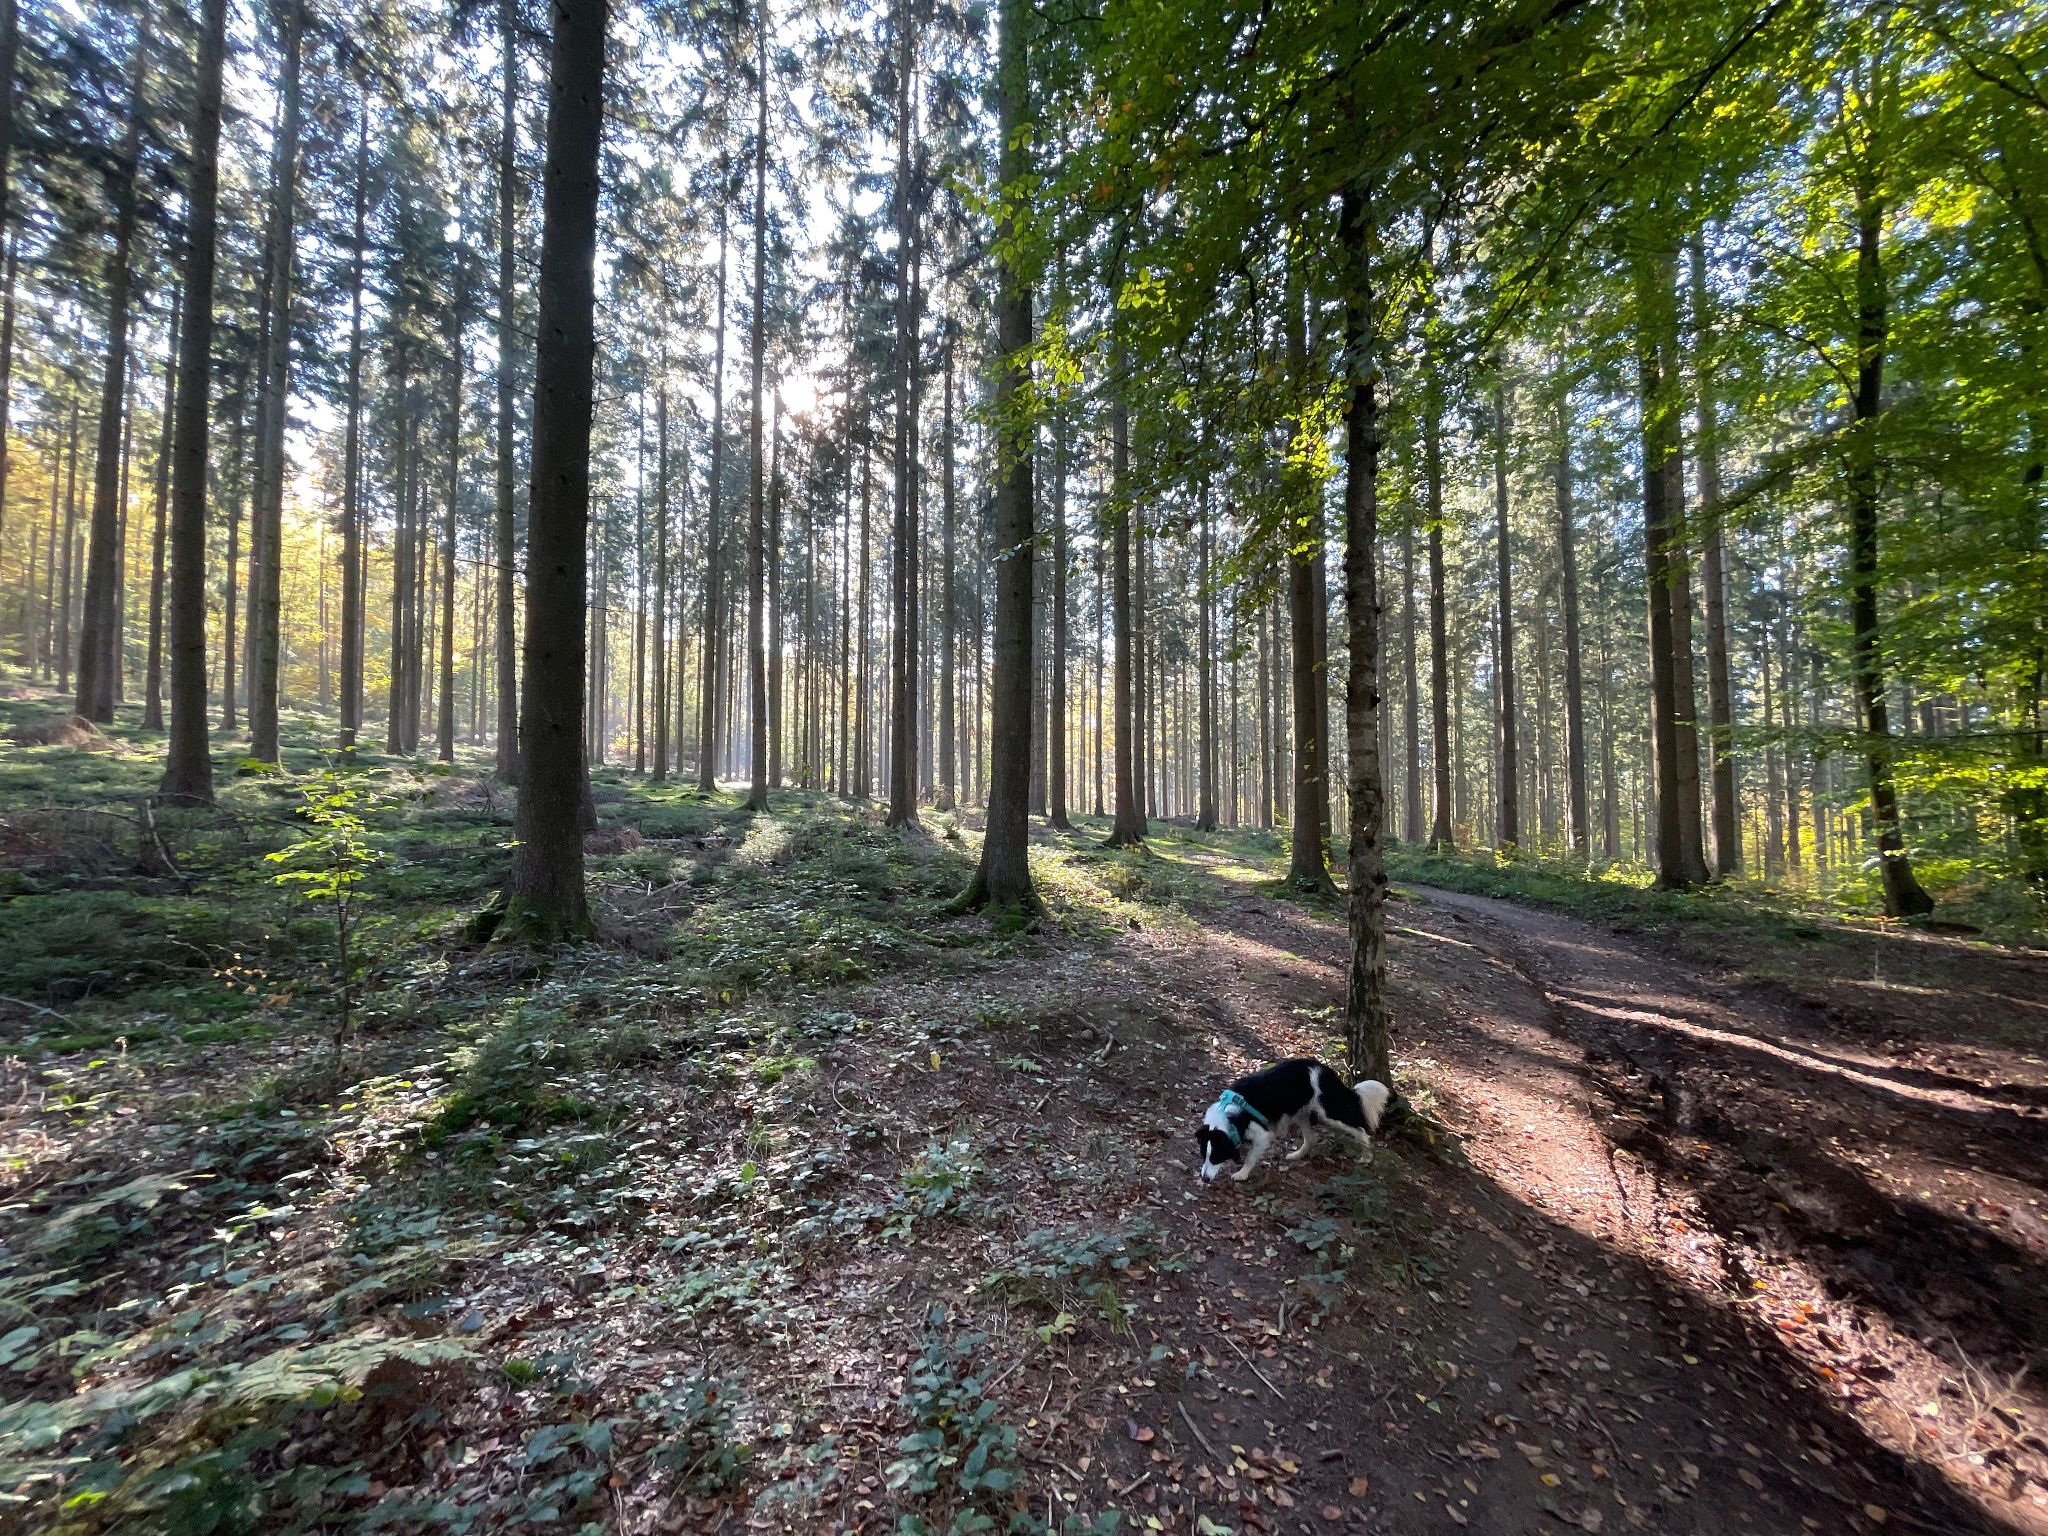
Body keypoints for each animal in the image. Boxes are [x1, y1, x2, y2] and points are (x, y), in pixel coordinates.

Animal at [1196, 1057, 1391, 1184]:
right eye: (1203, 1155)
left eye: (1216, 1156)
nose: (1205, 1179)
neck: (1229, 1115)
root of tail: (1326, 1070)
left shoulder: (1263, 1135)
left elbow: (1250, 1157)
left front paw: (1242, 1174)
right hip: (1301, 1113)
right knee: (1311, 1138)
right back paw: (1297, 1155)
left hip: (1329, 1113)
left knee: (1361, 1130)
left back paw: (1366, 1157)